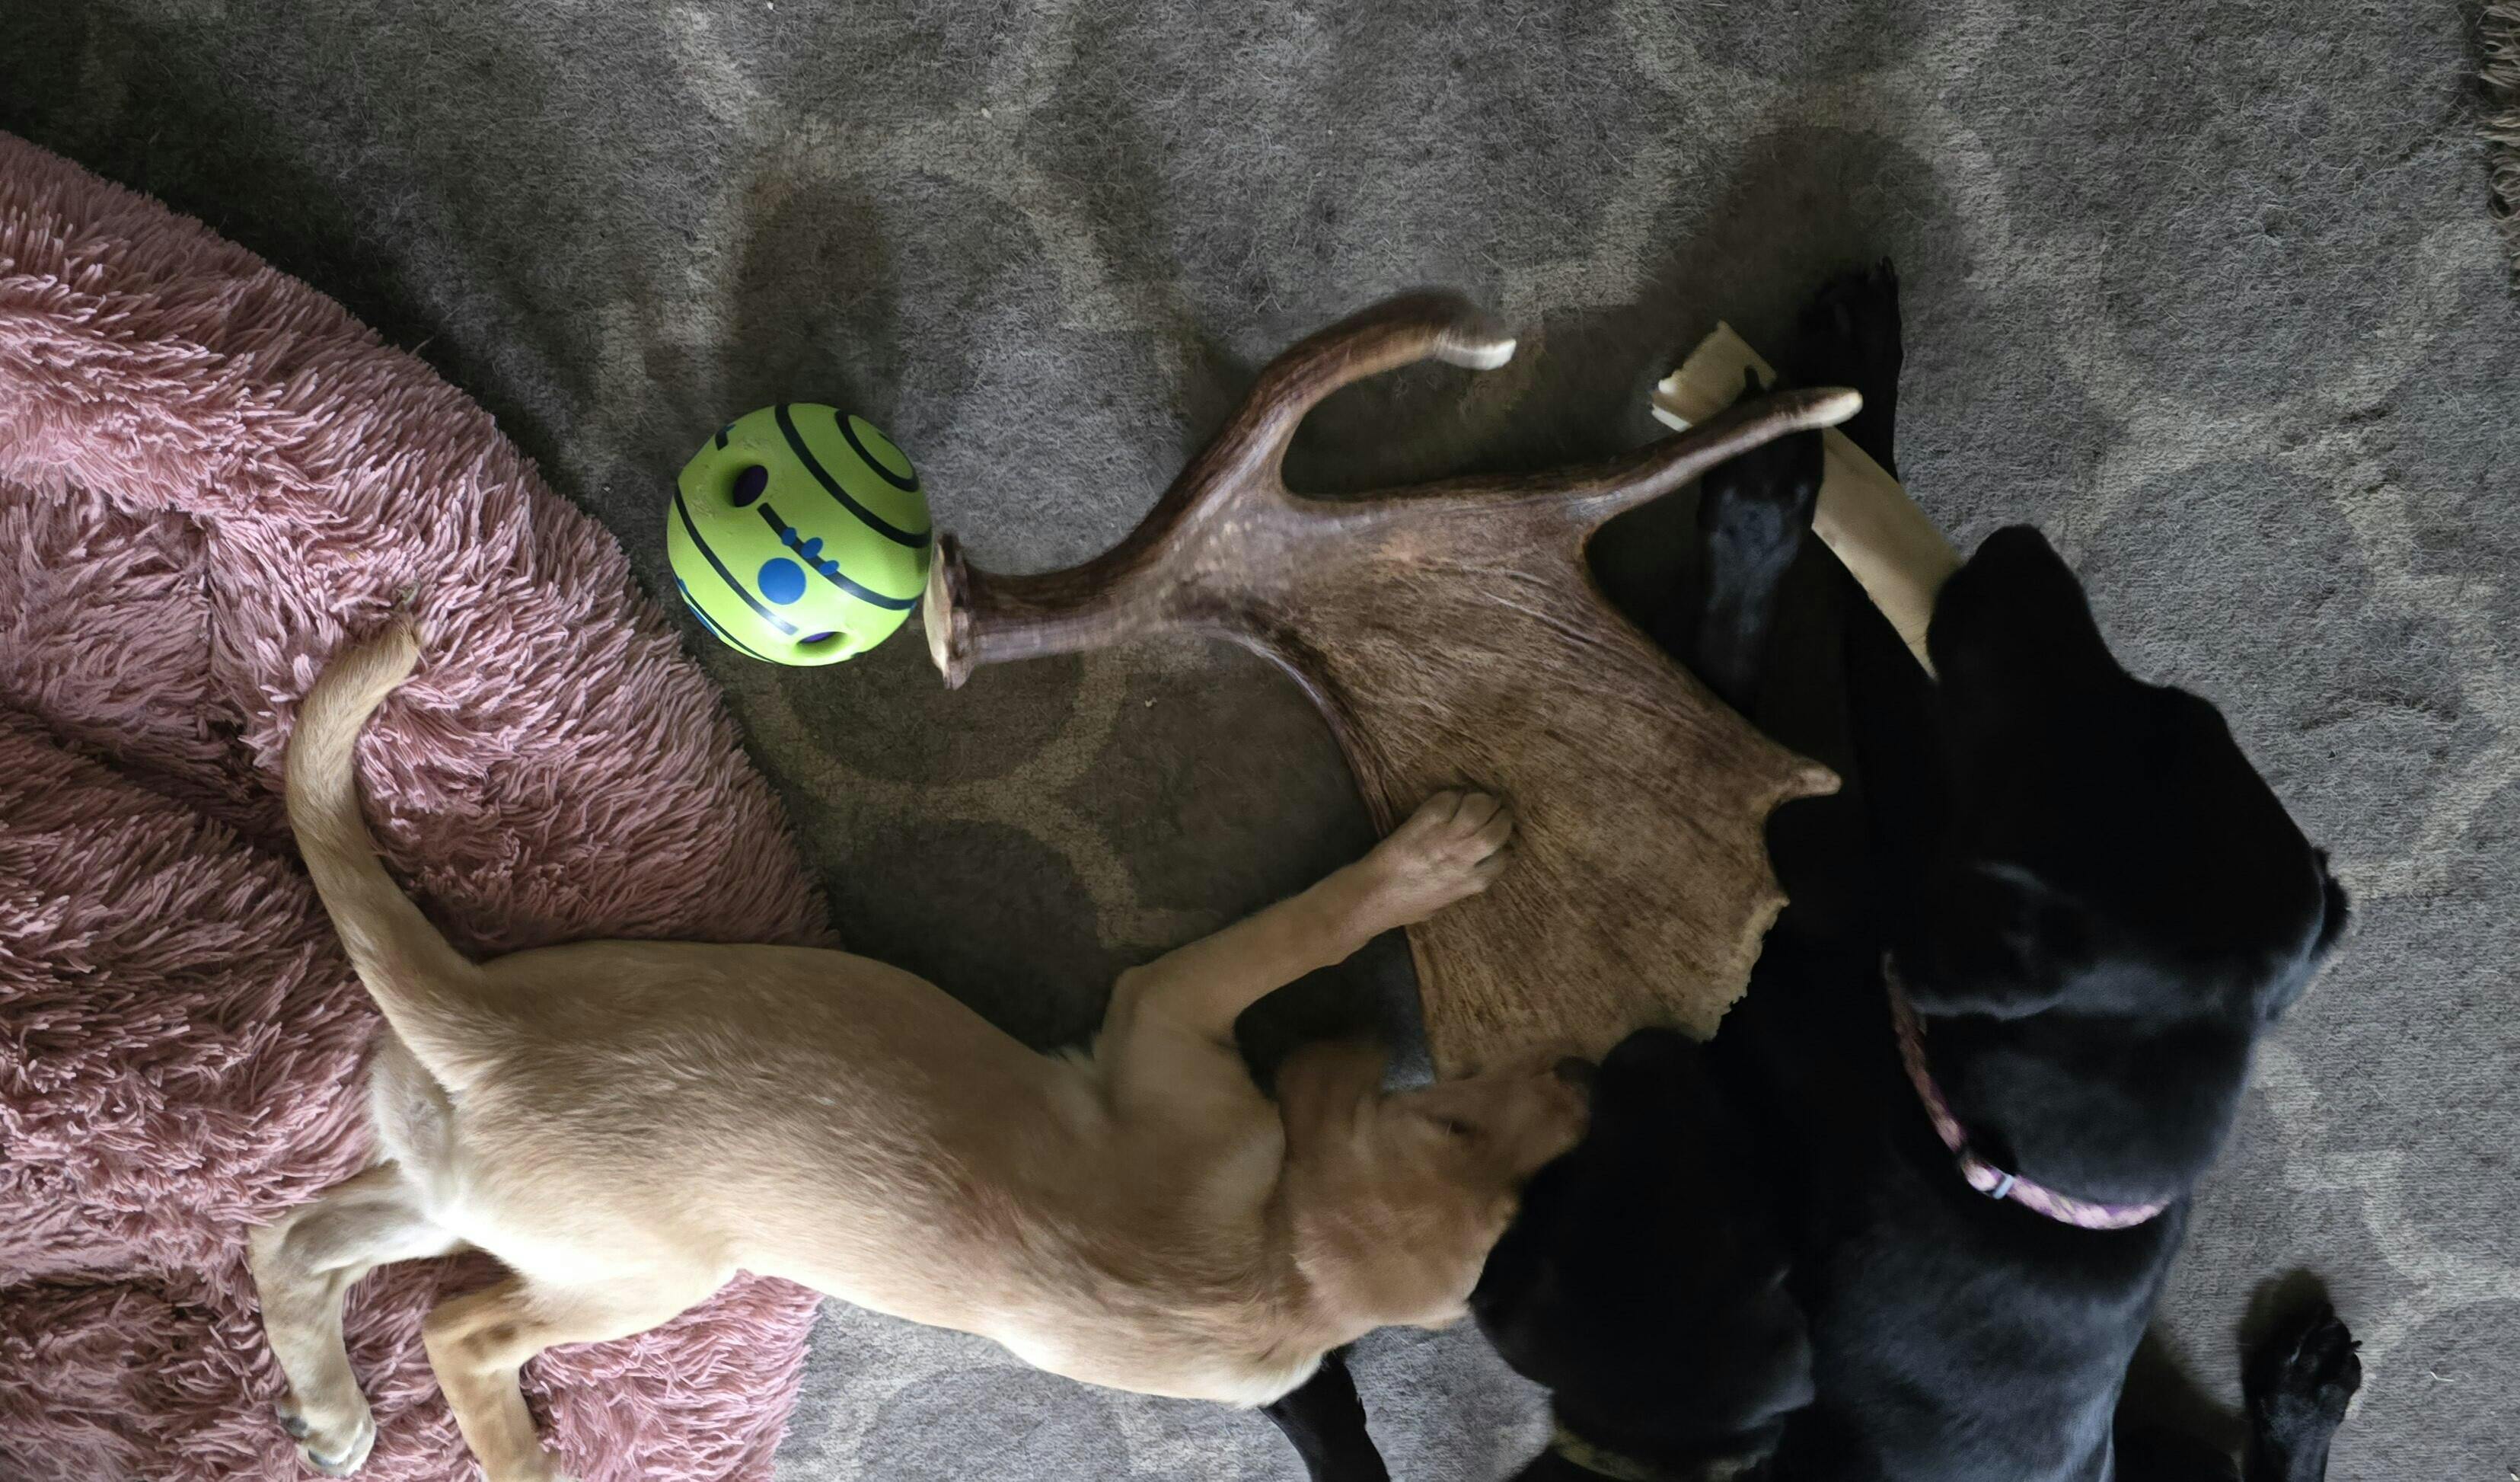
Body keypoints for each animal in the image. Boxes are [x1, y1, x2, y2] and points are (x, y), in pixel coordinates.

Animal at [247, 625, 1591, 1482]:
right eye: (1450, 1120)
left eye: (1515, 1192)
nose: (1585, 1079)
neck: (1283, 1271)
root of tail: (476, 1015)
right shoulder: (1169, 1008)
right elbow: (1302, 921)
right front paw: (1427, 864)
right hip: (623, 1266)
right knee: (453, 1327)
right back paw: (513, 1455)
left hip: (498, 1208)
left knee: (297, 1242)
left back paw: (334, 1408)